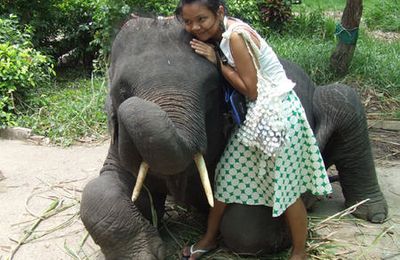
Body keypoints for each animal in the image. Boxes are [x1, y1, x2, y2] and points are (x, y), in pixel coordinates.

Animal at [79, 16, 390, 258]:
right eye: (122, 91)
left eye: (211, 88)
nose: (131, 107)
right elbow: (98, 193)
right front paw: (144, 252)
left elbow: (246, 226)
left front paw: (285, 230)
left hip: (335, 103)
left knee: (344, 98)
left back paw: (372, 214)